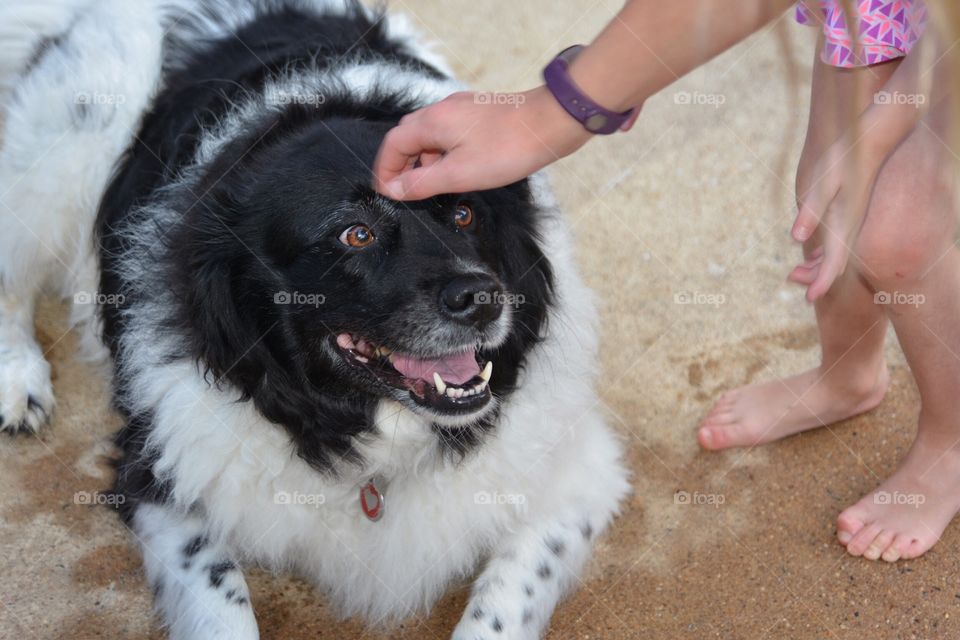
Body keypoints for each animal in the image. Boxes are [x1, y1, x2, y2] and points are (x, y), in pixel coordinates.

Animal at [1, 1, 632, 640]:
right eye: (356, 234)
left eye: (463, 213)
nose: (484, 299)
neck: (375, 436)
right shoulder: (155, 468)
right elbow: (221, 600)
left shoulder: (578, 477)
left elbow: (505, 601)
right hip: (60, 156)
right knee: (12, 275)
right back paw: (20, 382)